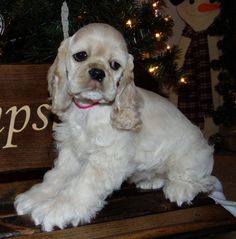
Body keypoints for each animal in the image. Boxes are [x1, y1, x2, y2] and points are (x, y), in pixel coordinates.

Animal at [14, 22, 217, 232]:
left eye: (115, 65)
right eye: (81, 55)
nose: (97, 72)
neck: (89, 110)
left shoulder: (106, 158)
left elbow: (82, 186)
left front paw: (57, 210)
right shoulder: (71, 149)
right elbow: (57, 176)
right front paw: (36, 197)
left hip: (190, 158)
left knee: (203, 181)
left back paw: (180, 189)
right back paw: (151, 180)